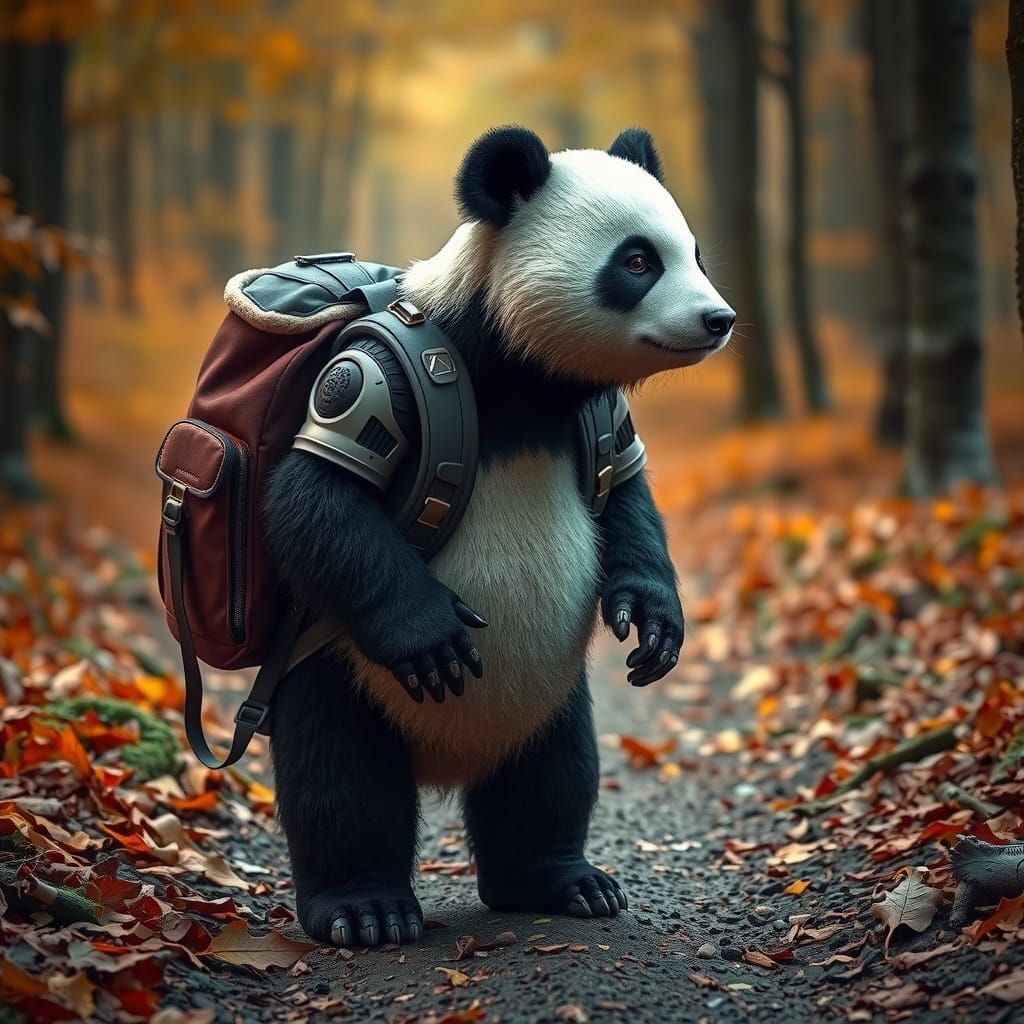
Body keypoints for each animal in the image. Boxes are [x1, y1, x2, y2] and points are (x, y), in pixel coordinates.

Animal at [263, 126, 734, 948]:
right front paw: (432, 634)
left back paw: (560, 882)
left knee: (552, 776)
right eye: (637, 261)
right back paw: (365, 909)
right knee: (339, 777)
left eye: (695, 253)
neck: (521, 380)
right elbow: (315, 496)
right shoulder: (387, 372)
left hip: (550, 693)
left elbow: (628, 498)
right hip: (339, 664)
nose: (719, 319)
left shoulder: (593, 416)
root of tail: (448, 761)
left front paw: (653, 622)